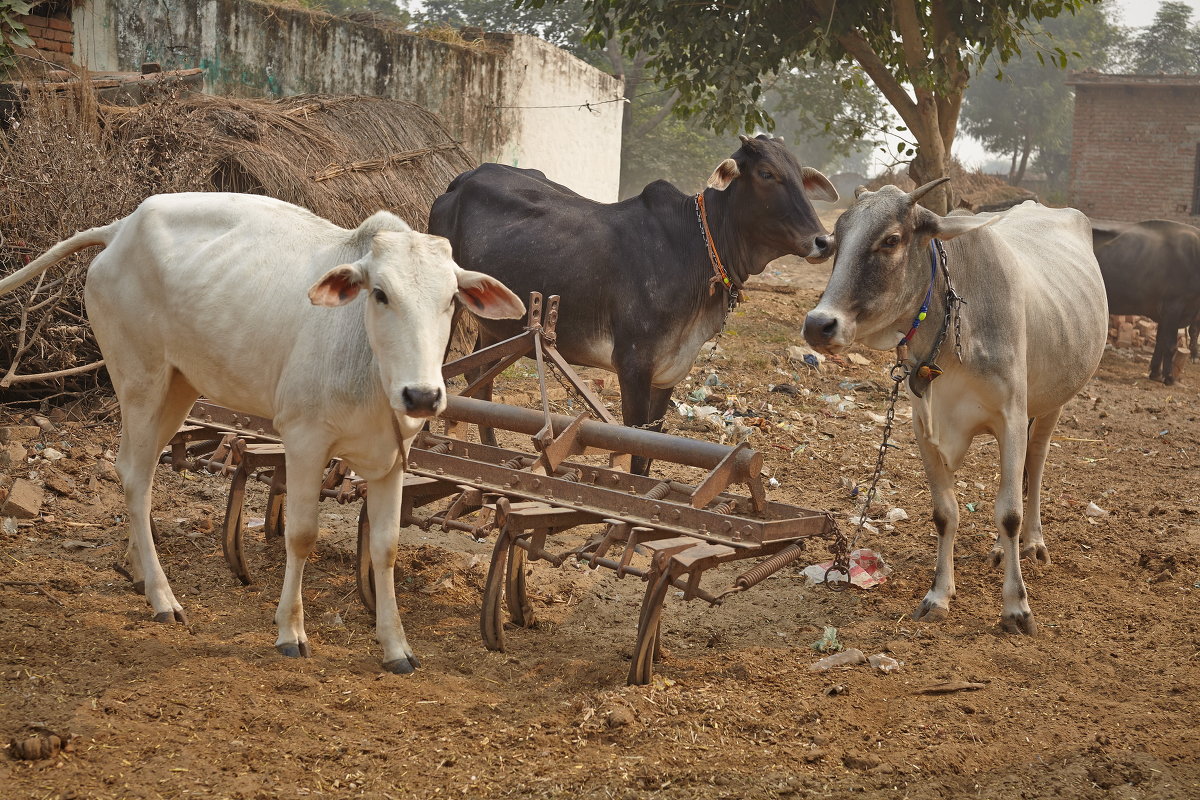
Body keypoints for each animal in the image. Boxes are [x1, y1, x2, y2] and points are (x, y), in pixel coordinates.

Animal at [1, 191, 525, 671]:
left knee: (137, 467)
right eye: (380, 294)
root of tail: (121, 228)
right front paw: (290, 631)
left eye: (450, 299)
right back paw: (162, 596)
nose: (421, 395)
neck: (371, 367)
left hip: (179, 384)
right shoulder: (304, 440)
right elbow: (302, 534)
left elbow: (387, 545)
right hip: (140, 379)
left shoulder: (393, 457)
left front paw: (396, 646)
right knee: (135, 475)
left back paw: (137, 574)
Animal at [429, 134, 835, 472]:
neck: (694, 247)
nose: (824, 241)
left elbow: (650, 451)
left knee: (479, 381)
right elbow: (636, 445)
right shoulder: (634, 366)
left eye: (800, 176)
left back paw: (490, 451)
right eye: (767, 173)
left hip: (495, 325)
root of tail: (462, 179)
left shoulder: (669, 371)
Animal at [806, 181, 1104, 638]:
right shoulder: (923, 424)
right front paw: (938, 596)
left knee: (1034, 466)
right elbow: (945, 514)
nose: (817, 325)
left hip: (1053, 401)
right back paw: (1001, 550)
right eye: (836, 239)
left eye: (891, 240)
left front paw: (1016, 607)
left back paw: (1033, 543)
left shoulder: (1011, 416)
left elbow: (1009, 512)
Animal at [1094, 217, 1200, 383]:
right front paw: (1169, 378)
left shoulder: (1168, 312)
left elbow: (1161, 341)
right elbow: (1170, 345)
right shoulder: (1174, 305)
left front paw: (1156, 373)